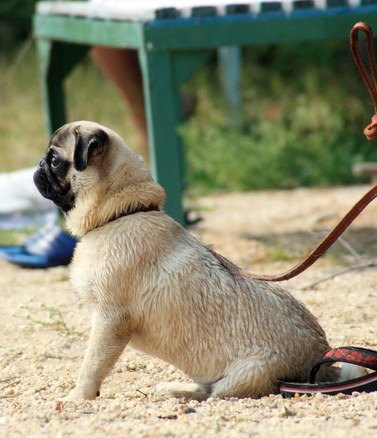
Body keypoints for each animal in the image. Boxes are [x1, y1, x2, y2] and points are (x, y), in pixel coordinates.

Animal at [33, 120, 348, 400]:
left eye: (55, 161)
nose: (38, 165)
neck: (121, 213)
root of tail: (324, 369)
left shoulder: (110, 320)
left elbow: (91, 366)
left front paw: (78, 397)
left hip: (248, 373)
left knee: (213, 394)